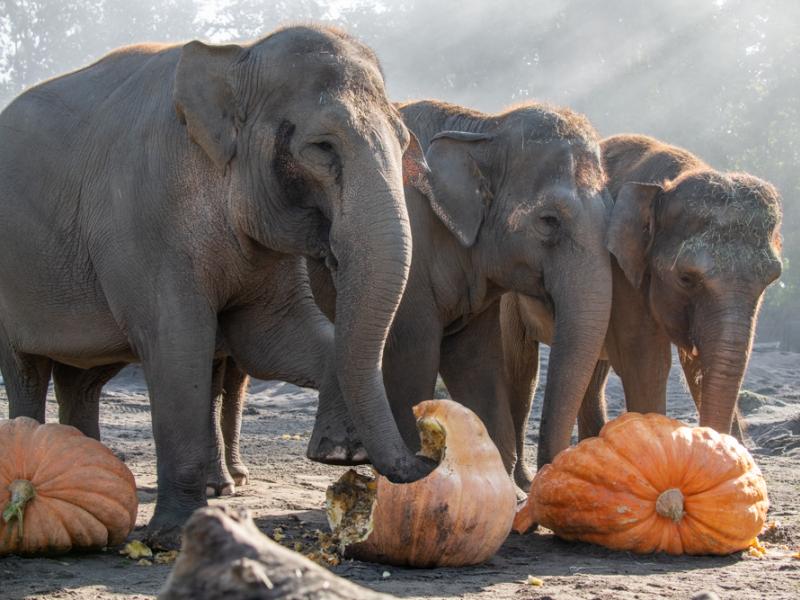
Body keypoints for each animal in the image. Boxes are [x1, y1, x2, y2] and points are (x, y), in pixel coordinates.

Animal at [0, 25, 432, 548]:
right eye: (322, 147)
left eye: (404, 141)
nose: (427, 460)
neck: (239, 57)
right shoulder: (145, 222)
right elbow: (178, 345)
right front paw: (173, 536)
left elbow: (268, 337)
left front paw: (337, 452)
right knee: (26, 371)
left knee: (81, 379)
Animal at [500, 132, 780, 488]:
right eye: (686, 278)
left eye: (771, 278)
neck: (667, 184)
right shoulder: (622, 273)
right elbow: (647, 364)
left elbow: (699, 364)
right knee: (523, 369)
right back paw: (523, 480)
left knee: (592, 372)